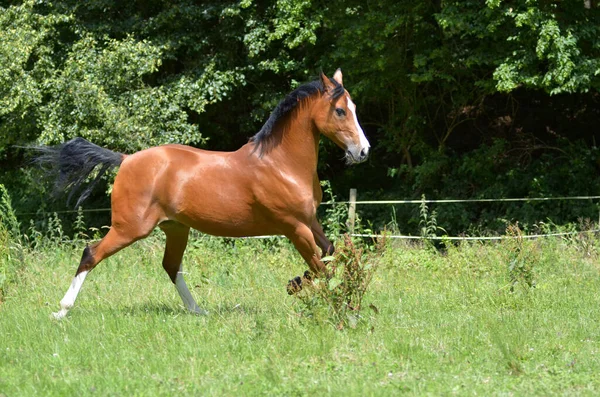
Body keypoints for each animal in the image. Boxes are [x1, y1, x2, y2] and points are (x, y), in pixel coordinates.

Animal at [35, 69, 370, 318]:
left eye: (354, 108)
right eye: (340, 110)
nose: (363, 151)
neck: (280, 164)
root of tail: (126, 159)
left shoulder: (310, 221)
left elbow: (331, 255)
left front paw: (298, 285)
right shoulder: (294, 226)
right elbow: (321, 267)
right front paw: (341, 308)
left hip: (176, 228)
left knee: (170, 266)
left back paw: (198, 311)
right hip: (130, 228)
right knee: (91, 254)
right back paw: (62, 311)